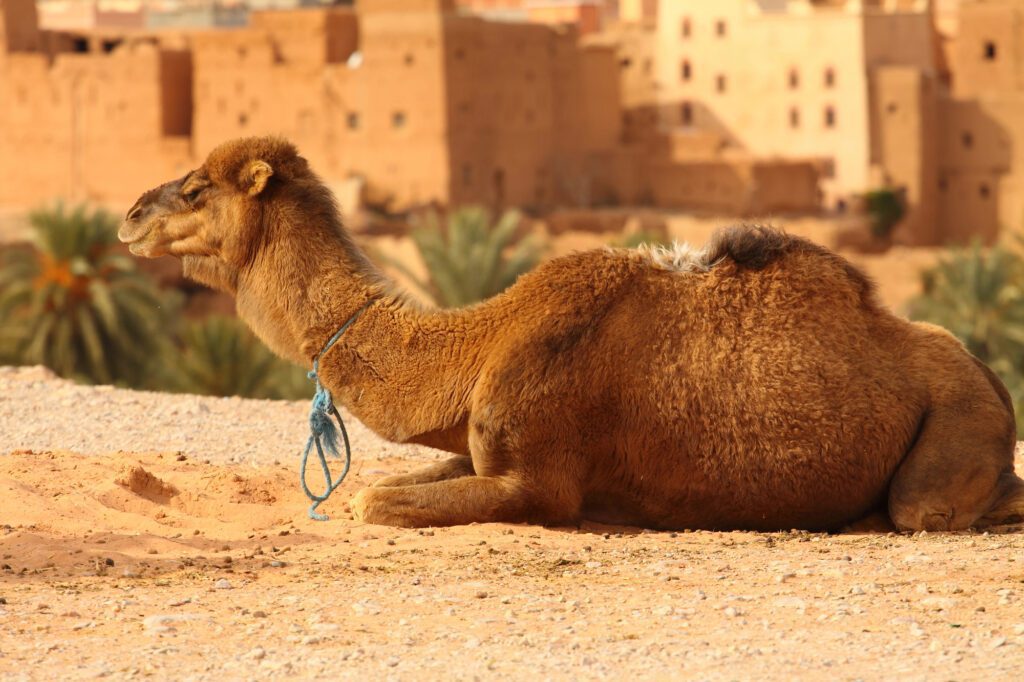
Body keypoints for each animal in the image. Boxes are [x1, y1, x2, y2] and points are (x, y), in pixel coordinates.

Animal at [119, 136, 1024, 532]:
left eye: (196, 189)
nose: (129, 215)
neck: (475, 345)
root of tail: (990, 376)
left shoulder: (537, 480)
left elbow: (376, 499)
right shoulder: (480, 445)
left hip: (952, 435)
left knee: (925, 508)